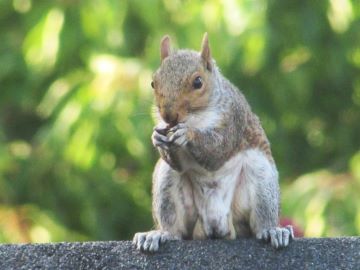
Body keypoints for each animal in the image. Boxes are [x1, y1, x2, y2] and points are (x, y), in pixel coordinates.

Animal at [134, 33, 294, 251]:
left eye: (198, 82)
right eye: (153, 83)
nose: (168, 116)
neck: (196, 117)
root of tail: (217, 223)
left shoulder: (234, 118)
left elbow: (217, 150)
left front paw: (188, 134)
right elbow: (178, 163)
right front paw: (156, 138)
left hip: (261, 178)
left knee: (260, 220)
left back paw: (272, 231)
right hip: (168, 187)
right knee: (175, 228)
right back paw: (159, 235)